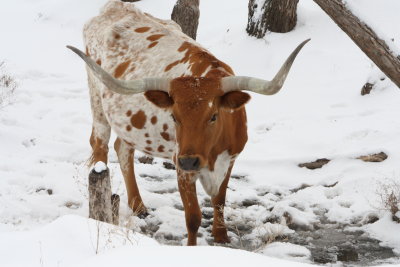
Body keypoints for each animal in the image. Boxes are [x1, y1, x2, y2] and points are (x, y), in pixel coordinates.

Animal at [68, 0, 310, 247]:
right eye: (174, 116)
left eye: (213, 115)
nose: (190, 161)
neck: (212, 153)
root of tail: (115, 6)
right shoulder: (181, 166)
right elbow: (193, 217)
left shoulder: (229, 160)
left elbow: (219, 201)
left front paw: (221, 237)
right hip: (97, 100)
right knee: (99, 145)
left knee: (123, 149)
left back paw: (138, 205)